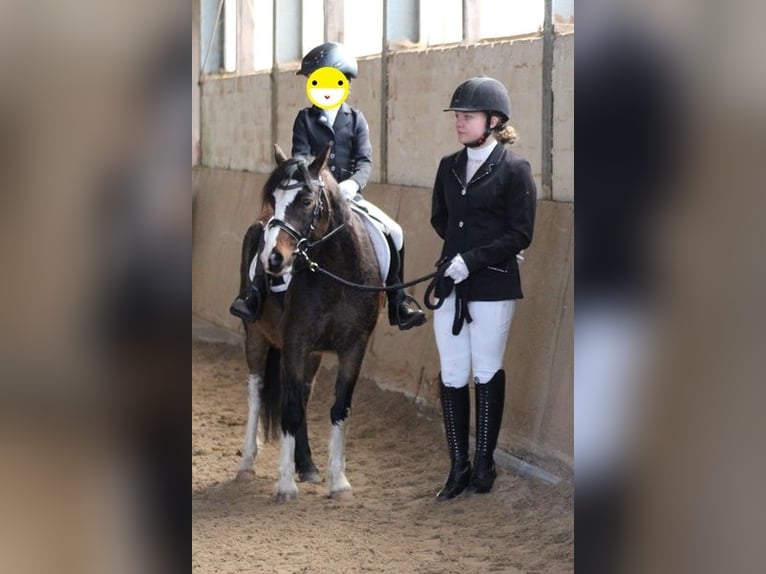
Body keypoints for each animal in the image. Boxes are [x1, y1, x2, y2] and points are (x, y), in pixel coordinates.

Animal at [234, 143, 382, 501]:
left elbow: (339, 408)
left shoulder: (353, 347)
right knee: (257, 391)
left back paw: (308, 467)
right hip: (256, 336)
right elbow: (287, 409)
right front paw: (285, 485)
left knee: (301, 394)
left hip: (312, 355)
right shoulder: (295, 343)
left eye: (305, 201)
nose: (273, 259)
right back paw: (247, 464)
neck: (336, 273)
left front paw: (338, 482)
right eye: (273, 198)